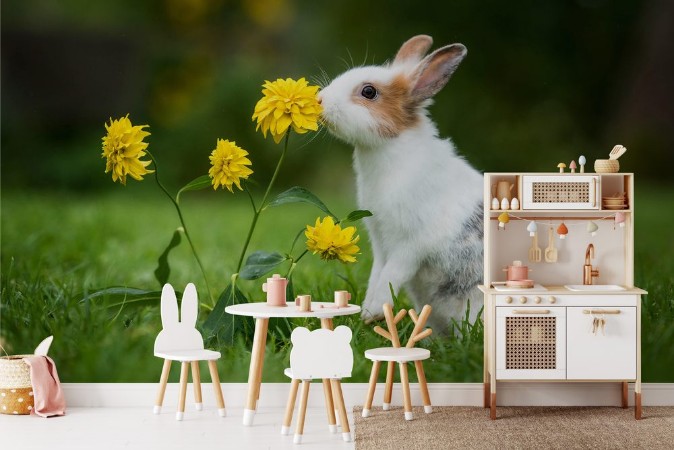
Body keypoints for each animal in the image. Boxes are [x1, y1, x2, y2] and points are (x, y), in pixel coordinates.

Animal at [318, 35, 480, 328]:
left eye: (368, 92)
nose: (320, 99)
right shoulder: (381, 243)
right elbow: (377, 275)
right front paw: (367, 313)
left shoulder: (411, 244)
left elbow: (390, 276)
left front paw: (372, 313)